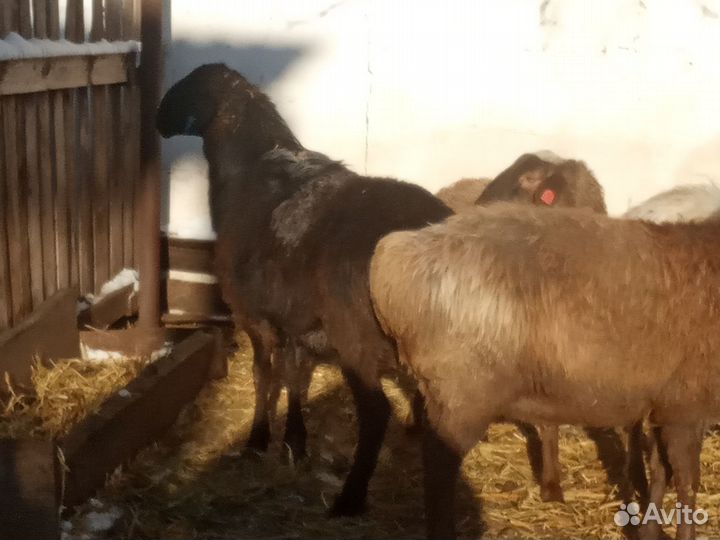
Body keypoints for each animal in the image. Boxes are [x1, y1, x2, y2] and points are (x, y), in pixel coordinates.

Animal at [156, 63, 453, 516]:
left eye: (189, 86)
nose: (156, 120)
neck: (248, 167)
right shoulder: (297, 321)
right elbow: (296, 379)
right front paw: (295, 443)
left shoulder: (253, 314)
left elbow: (265, 375)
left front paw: (258, 440)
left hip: (357, 338)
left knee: (375, 413)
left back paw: (349, 499)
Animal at [370, 203, 720, 539]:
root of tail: (393, 258)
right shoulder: (686, 407)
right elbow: (687, 483)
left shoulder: (665, 405)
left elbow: (662, 473)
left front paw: (650, 531)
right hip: (461, 394)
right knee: (438, 469)